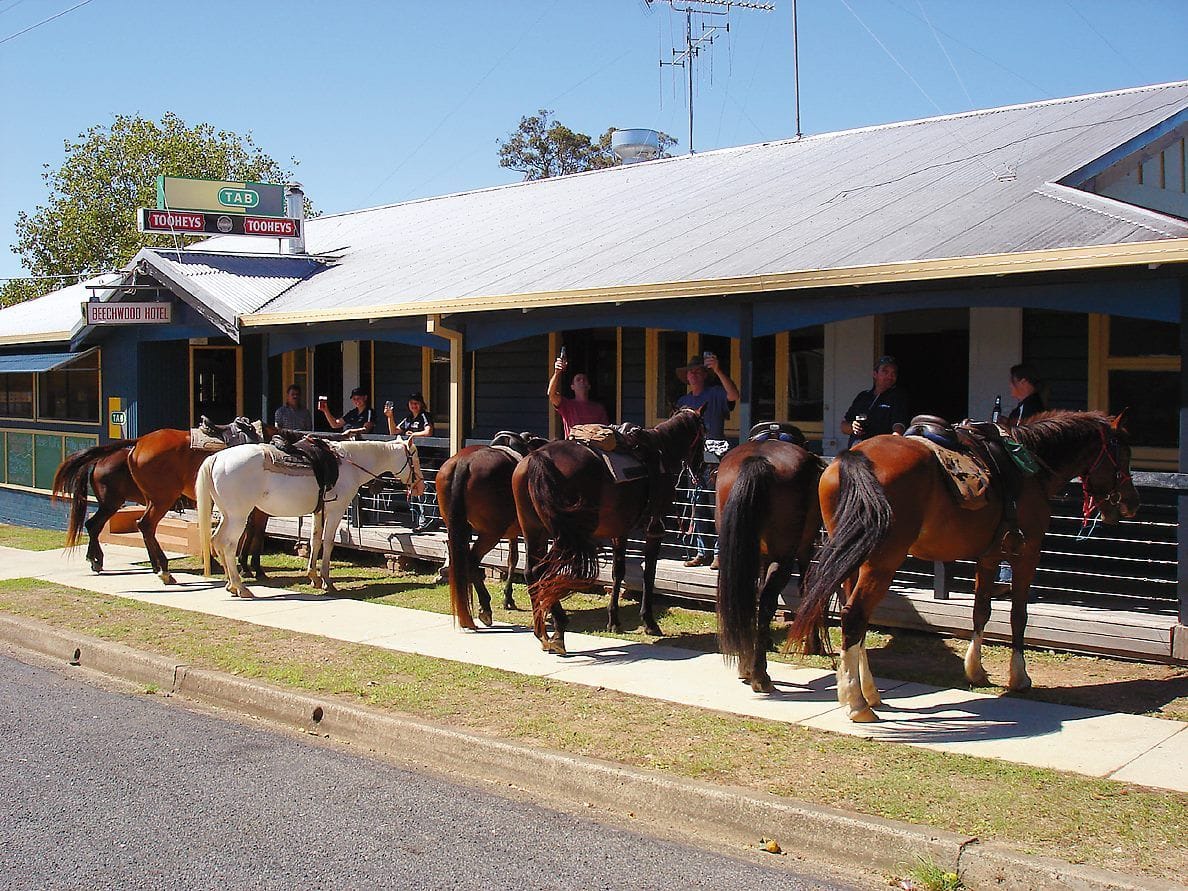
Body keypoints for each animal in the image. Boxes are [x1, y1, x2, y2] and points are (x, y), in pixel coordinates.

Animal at [200, 439, 427, 601]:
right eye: (414, 457)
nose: (421, 486)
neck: (350, 465)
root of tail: (217, 458)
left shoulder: (318, 512)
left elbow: (315, 541)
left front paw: (314, 577)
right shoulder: (335, 510)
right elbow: (328, 543)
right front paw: (327, 581)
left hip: (227, 515)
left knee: (216, 540)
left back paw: (231, 585)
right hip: (238, 516)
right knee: (228, 545)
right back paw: (241, 587)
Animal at [437, 432, 546, 627]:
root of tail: (464, 462)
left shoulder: (514, 533)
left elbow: (512, 560)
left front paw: (508, 598)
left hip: (457, 526)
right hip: (491, 532)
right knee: (472, 560)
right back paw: (485, 607)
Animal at [513, 411, 698, 655]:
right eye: (704, 433)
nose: (701, 465)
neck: (661, 451)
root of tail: (538, 457)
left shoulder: (619, 531)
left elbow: (618, 572)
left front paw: (614, 621)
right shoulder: (654, 530)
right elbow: (649, 574)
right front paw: (649, 622)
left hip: (535, 532)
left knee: (530, 571)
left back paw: (542, 633)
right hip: (567, 535)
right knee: (540, 570)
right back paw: (558, 628)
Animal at [712, 439, 826, 698]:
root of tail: (757, 459)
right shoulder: (804, 550)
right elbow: (807, 590)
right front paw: (813, 643)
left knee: (745, 598)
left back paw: (745, 666)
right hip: (784, 556)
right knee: (766, 602)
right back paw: (760, 676)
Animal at [793, 411, 1135, 727]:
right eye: (1124, 454)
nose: (1131, 503)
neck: (1028, 467)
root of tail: (855, 457)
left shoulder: (990, 555)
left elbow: (981, 609)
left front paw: (976, 670)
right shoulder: (1026, 553)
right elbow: (1018, 615)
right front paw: (1018, 676)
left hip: (855, 556)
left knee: (857, 619)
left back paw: (868, 692)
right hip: (882, 560)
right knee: (855, 616)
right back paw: (857, 703)